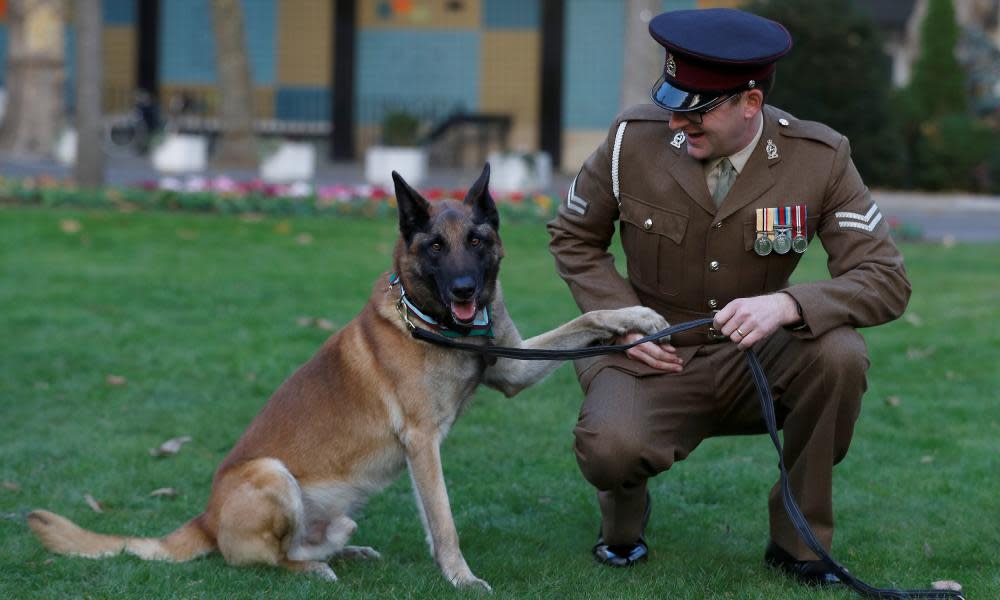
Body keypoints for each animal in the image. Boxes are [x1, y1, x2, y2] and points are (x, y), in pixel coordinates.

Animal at [27, 164, 668, 592]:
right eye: (436, 247)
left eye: (477, 241)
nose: (465, 289)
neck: (430, 321)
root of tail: (203, 519)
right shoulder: (422, 443)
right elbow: (444, 521)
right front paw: (461, 578)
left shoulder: (510, 369)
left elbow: (586, 319)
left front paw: (637, 320)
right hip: (272, 473)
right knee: (269, 561)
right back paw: (314, 567)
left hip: (325, 506)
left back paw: (347, 551)